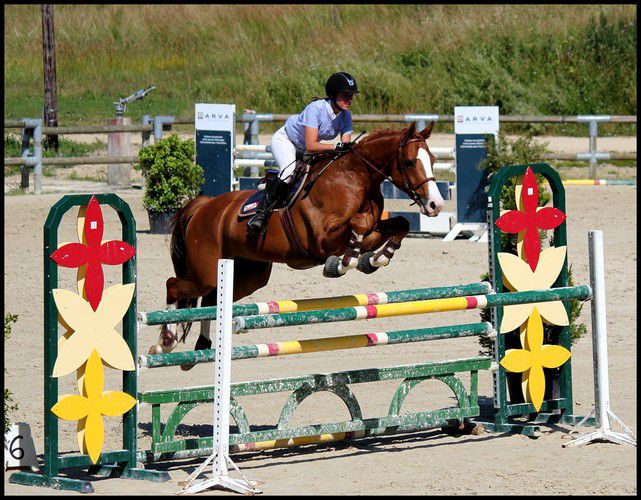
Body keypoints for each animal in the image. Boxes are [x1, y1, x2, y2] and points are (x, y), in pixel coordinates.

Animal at [148, 121, 445, 357]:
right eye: (410, 162)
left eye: (431, 158)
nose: (435, 205)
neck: (355, 177)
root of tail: (204, 207)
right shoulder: (322, 239)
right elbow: (357, 229)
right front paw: (342, 264)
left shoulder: (372, 228)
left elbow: (398, 224)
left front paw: (376, 259)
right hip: (206, 270)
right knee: (174, 285)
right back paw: (165, 342)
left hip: (249, 274)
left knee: (212, 299)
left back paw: (203, 346)